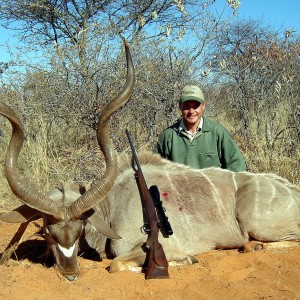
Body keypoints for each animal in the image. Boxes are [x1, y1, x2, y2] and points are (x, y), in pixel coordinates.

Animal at [0, 44, 300, 282]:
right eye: (49, 233)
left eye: (80, 229)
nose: (70, 274)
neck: (113, 204)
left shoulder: (151, 246)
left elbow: (116, 263)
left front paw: (183, 261)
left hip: (255, 222)